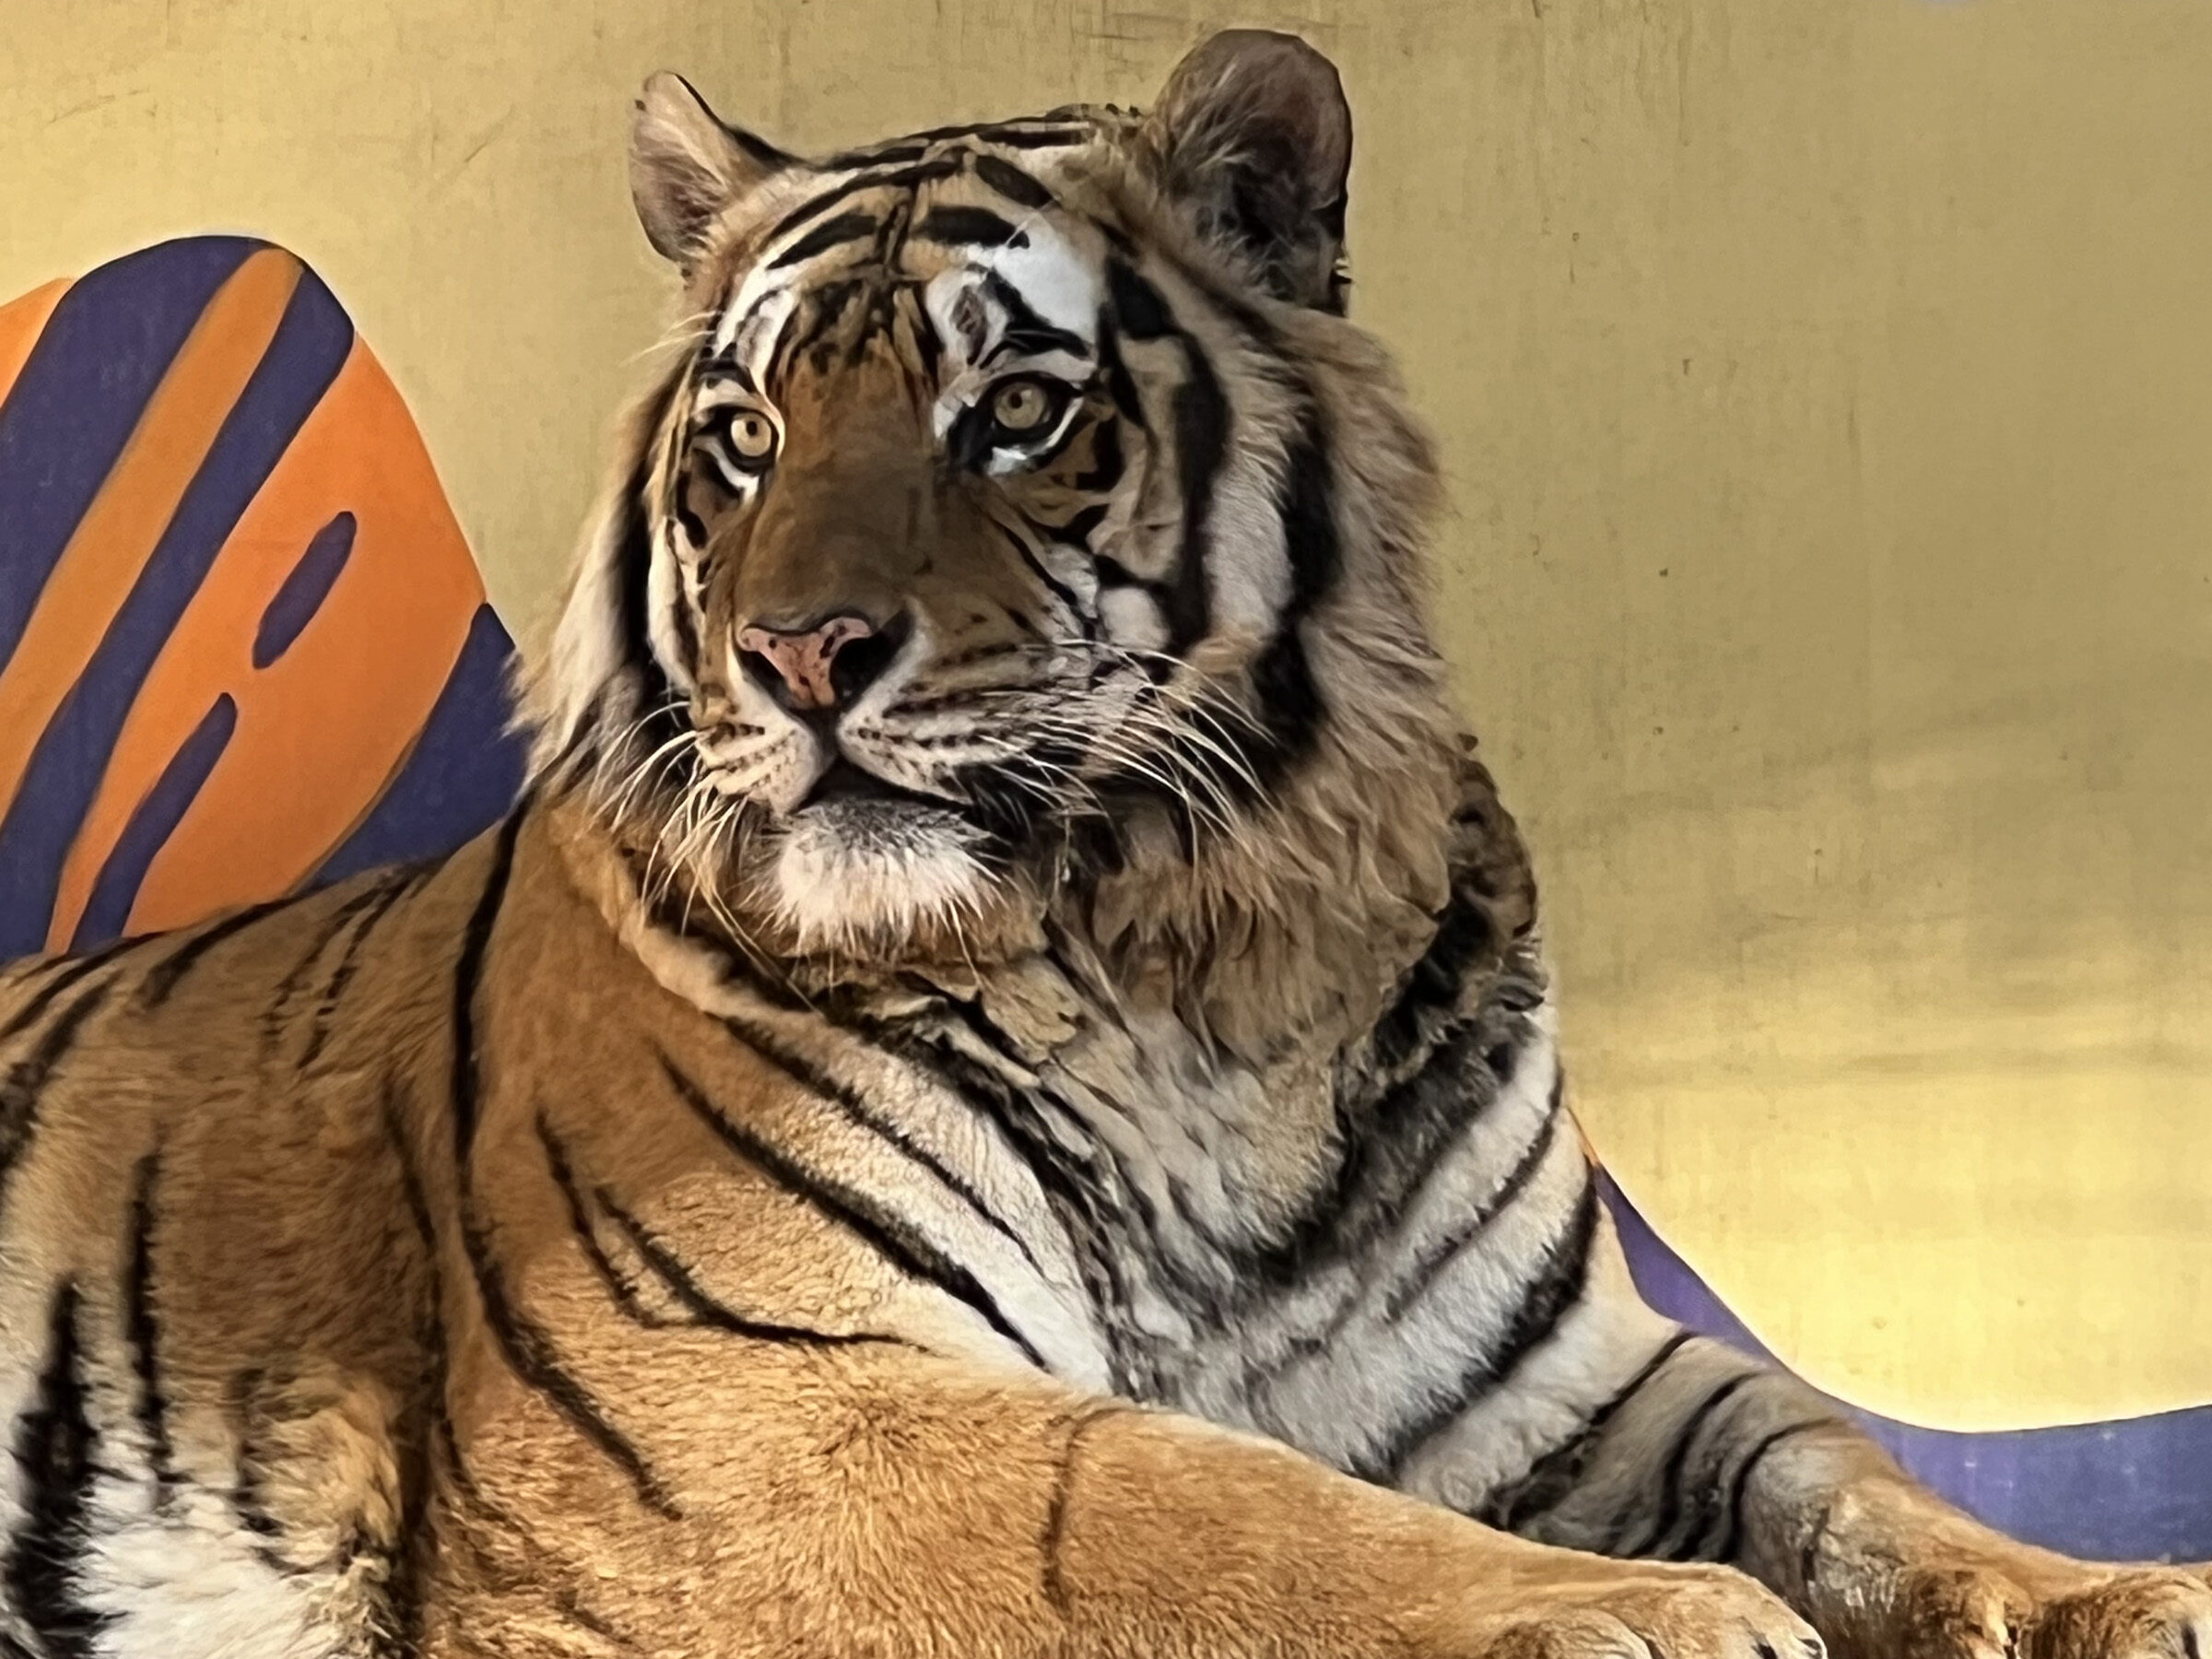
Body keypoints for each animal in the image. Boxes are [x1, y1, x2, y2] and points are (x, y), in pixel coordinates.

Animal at [0, 26, 2204, 1659]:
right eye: (747, 440)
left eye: (1014, 410)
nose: (799, 654)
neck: (1196, 968)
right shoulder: (744, 1406)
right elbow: (1181, 1495)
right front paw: (1647, 1616)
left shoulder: (1557, 1371)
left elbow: (1825, 1457)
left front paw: (2111, 1593)